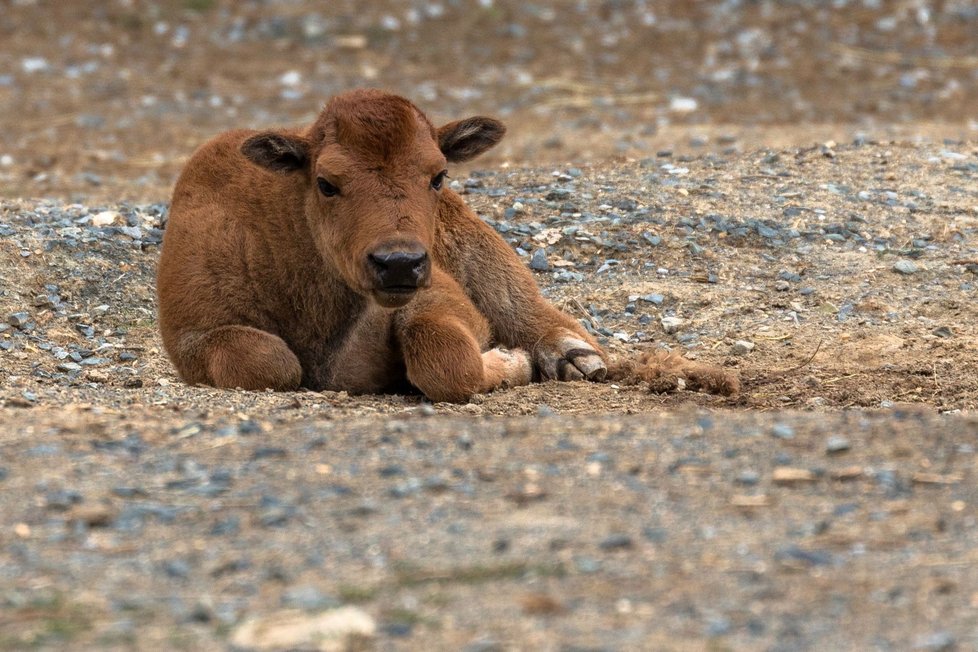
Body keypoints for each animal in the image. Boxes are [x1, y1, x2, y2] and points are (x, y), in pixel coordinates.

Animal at [160, 88, 736, 400]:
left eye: (437, 175)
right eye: (325, 182)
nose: (399, 264)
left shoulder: (438, 297)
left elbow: (447, 360)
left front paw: (513, 363)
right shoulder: (193, 334)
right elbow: (269, 362)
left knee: (535, 310)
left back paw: (573, 359)